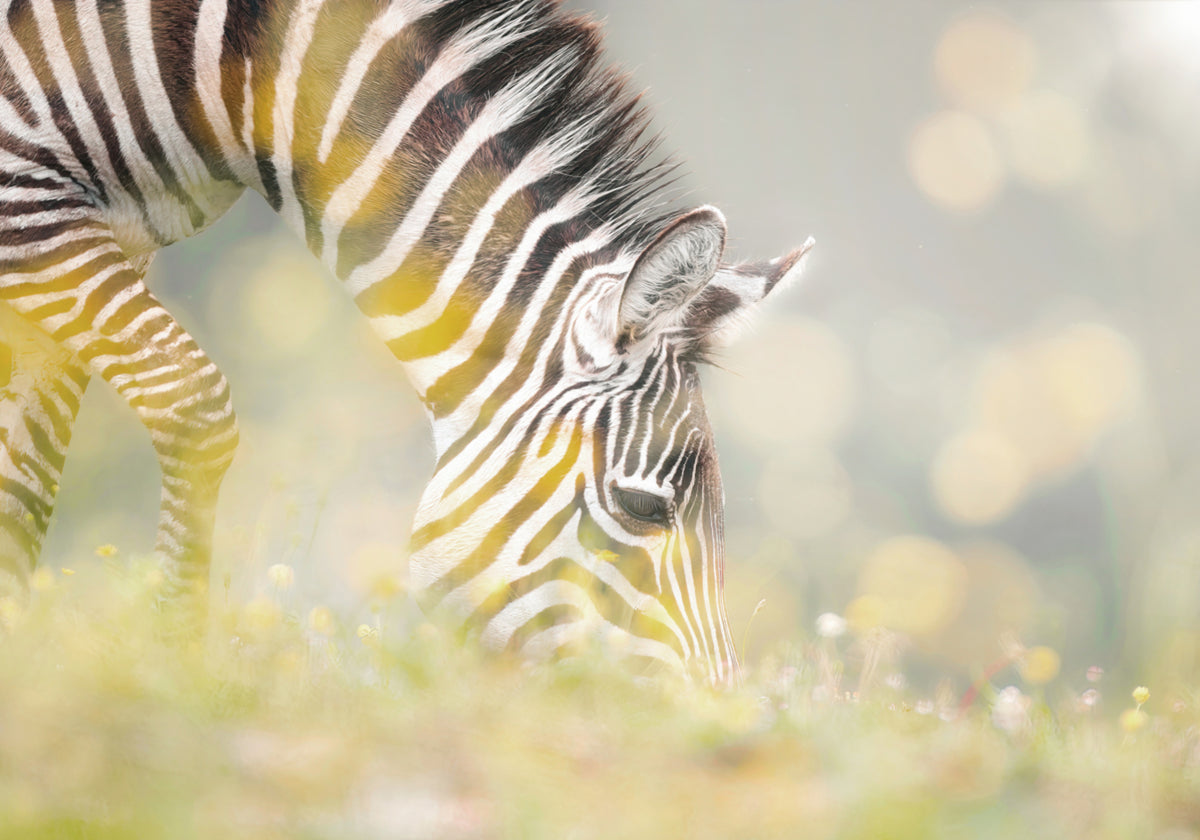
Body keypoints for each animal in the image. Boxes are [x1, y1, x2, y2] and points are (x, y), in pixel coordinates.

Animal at [0, 0, 811, 683]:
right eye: (645, 509)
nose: (714, 718)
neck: (233, 73)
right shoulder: (26, 205)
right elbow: (188, 402)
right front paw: (167, 668)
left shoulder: (109, 233)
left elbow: (25, 477)